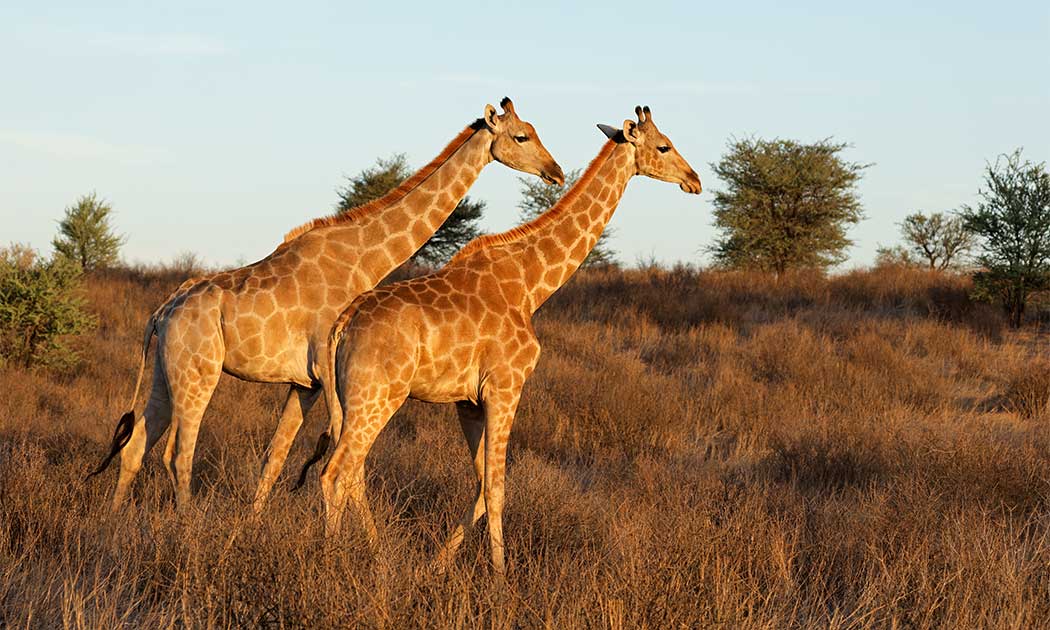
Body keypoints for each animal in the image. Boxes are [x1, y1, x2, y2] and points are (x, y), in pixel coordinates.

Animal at [86, 98, 565, 513]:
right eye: (522, 136)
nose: (556, 172)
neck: (364, 258)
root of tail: (161, 313)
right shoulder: (331, 372)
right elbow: (346, 461)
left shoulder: (306, 383)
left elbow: (275, 457)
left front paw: (251, 528)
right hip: (198, 372)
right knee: (179, 454)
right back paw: (186, 530)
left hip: (165, 372)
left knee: (135, 445)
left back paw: (113, 525)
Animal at [318, 106, 701, 574]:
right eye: (664, 146)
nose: (694, 179)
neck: (531, 285)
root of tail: (344, 322)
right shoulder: (506, 386)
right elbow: (497, 488)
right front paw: (501, 577)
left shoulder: (468, 401)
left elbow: (481, 485)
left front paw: (438, 566)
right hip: (377, 395)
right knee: (336, 472)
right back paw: (331, 562)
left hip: (347, 401)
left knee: (351, 471)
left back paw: (375, 555)